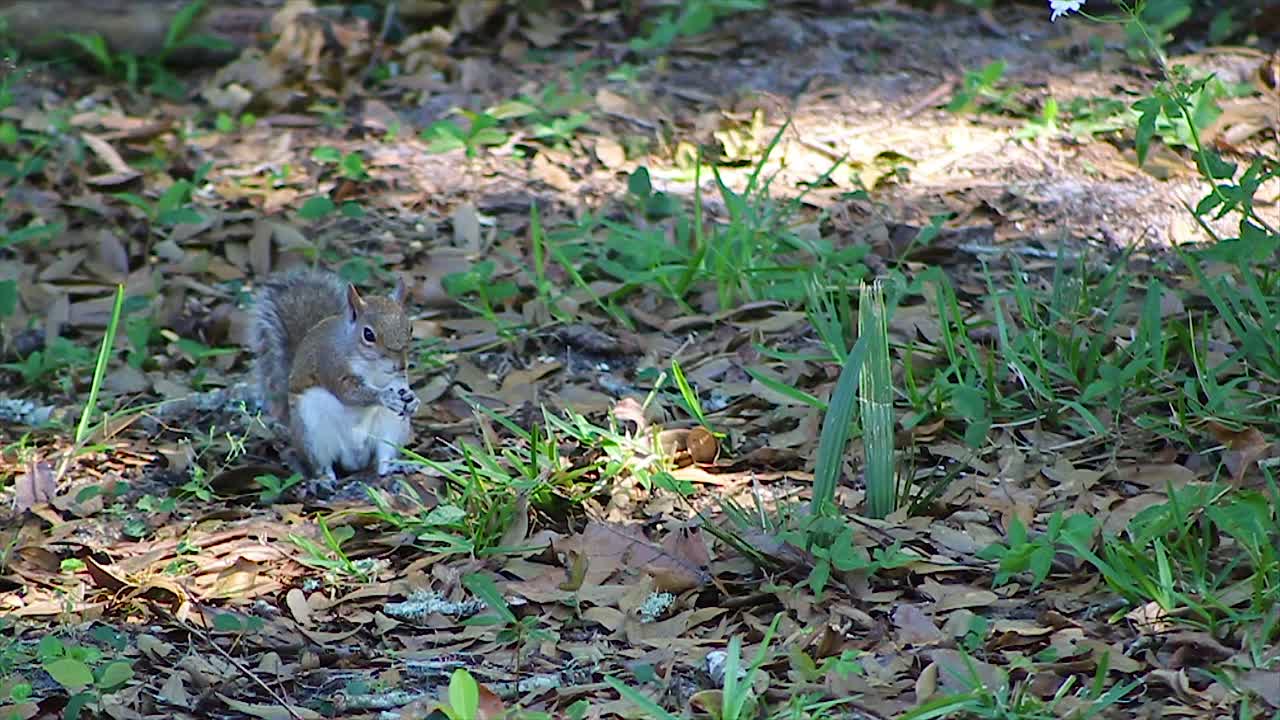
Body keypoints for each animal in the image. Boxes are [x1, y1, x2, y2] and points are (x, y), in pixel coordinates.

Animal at [249, 268, 420, 491]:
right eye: (368, 334)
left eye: (410, 328)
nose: (400, 365)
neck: (371, 365)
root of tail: (354, 460)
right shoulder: (330, 364)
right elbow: (349, 394)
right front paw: (384, 396)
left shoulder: (396, 377)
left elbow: (400, 385)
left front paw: (413, 399)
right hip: (312, 432)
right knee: (323, 464)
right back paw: (323, 481)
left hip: (391, 426)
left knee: (384, 458)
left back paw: (396, 467)